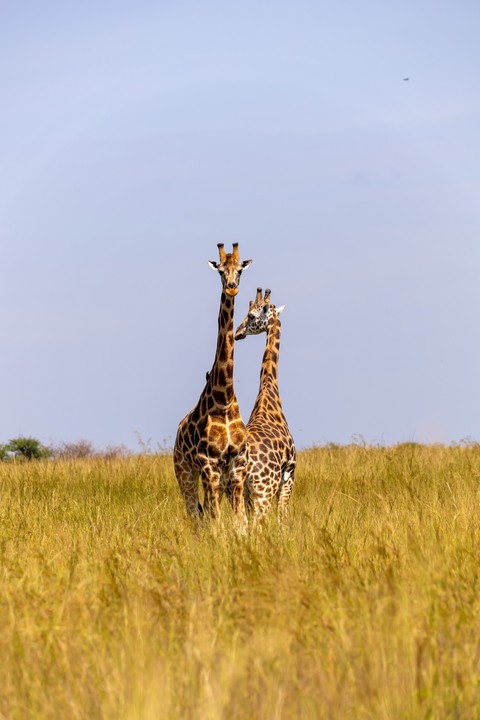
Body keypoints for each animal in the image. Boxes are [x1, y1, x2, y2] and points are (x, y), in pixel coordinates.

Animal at [173, 243, 252, 524]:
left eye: (240, 270)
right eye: (220, 270)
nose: (231, 287)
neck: (224, 398)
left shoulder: (236, 465)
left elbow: (241, 521)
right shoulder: (208, 464)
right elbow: (216, 520)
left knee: (203, 511)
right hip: (184, 470)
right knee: (195, 514)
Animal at [235, 288, 296, 521]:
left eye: (251, 316)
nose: (237, 332)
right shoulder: (289, 473)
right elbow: (282, 517)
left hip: (237, 490)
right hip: (264, 490)